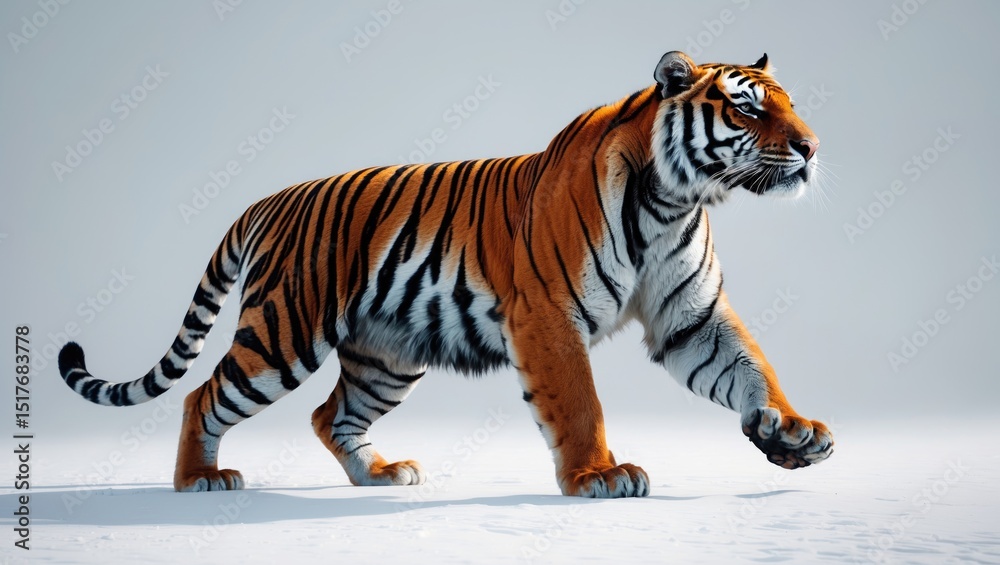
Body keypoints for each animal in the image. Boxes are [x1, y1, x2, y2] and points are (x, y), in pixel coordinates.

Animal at [58, 51, 834, 498]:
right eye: (747, 108)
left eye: (791, 103)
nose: (811, 147)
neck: (675, 199)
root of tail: (269, 200)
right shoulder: (547, 314)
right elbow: (580, 402)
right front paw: (599, 475)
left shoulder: (689, 318)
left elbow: (750, 367)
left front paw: (791, 431)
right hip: (282, 335)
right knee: (203, 394)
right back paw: (200, 479)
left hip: (387, 356)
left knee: (329, 413)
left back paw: (378, 474)